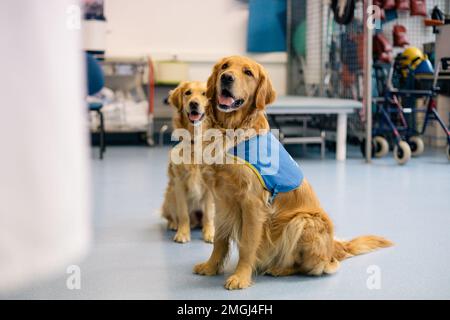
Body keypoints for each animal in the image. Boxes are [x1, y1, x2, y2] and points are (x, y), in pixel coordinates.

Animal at [195, 57, 392, 290]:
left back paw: (280, 269)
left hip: (303, 221)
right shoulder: (222, 199)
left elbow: (247, 245)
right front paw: (210, 267)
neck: (230, 130)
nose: (226, 78)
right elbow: (219, 240)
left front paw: (240, 277)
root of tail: (333, 247)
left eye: (248, 72)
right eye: (225, 66)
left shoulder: (252, 204)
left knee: (316, 266)